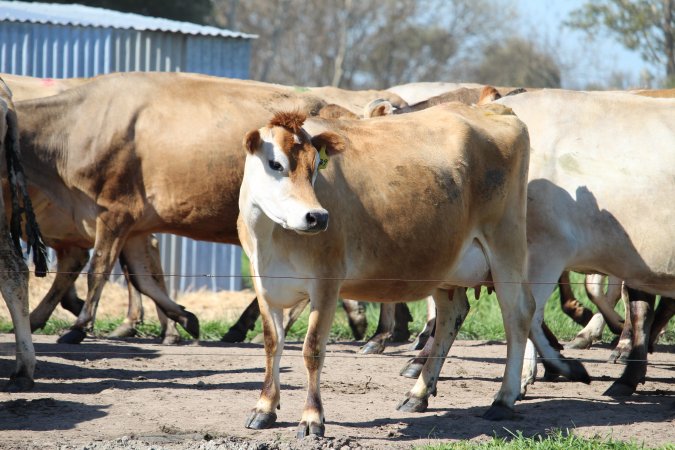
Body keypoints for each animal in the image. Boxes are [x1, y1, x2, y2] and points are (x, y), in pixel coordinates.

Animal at [240, 105, 536, 436]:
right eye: (275, 164)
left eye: (316, 165)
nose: (316, 216)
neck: (269, 239)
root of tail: (490, 108)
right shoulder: (264, 285)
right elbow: (272, 344)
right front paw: (264, 407)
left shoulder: (326, 282)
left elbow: (312, 350)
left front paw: (312, 417)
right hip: (445, 263)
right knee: (452, 315)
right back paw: (418, 394)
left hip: (506, 245)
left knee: (518, 313)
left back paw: (503, 399)